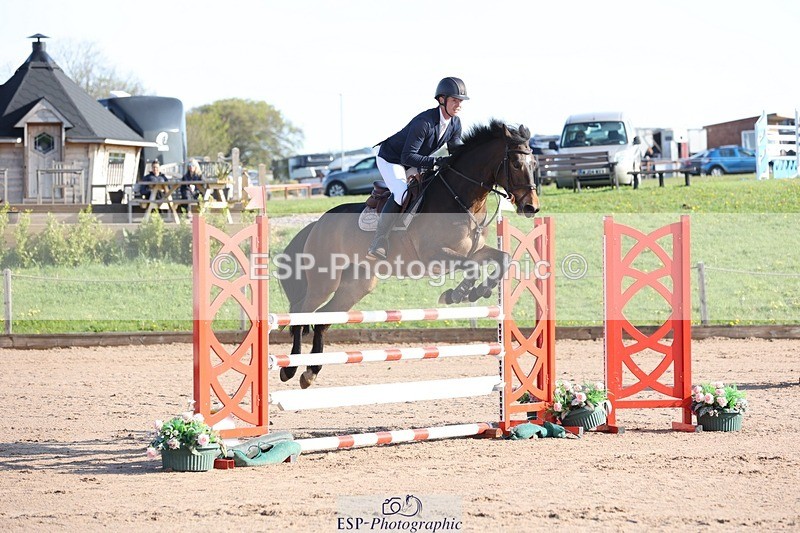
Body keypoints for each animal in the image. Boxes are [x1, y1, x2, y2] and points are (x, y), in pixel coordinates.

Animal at [278, 119, 539, 388]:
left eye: (535, 164)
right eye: (516, 164)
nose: (531, 207)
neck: (461, 199)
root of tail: (317, 224)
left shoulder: (473, 251)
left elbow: (502, 259)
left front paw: (477, 291)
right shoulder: (434, 255)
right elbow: (472, 267)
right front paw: (457, 294)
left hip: (356, 286)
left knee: (322, 319)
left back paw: (311, 371)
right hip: (324, 282)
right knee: (299, 314)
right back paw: (290, 369)